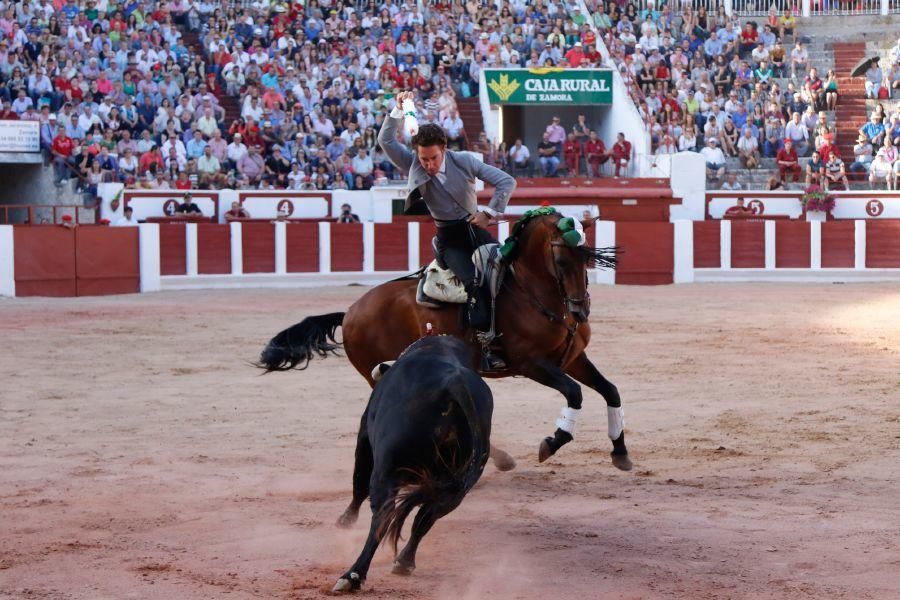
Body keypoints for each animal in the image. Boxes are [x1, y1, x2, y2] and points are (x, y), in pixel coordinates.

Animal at [260, 211, 632, 474]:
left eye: (588, 258)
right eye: (561, 260)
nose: (580, 311)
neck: (530, 291)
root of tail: (351, 311)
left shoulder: (572, 359)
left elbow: (611, 390)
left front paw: (621, 452)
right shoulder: (531, 363)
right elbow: (575, 393)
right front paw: (552, 443)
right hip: (381, 373)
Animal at [332, 336, 492, 592]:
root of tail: (455, 384)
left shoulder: (364, 439)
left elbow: (359, 485)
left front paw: (346, 519)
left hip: (386, 471)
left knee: (382, 517)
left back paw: (353, 575)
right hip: (456, 488)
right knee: (426, 518)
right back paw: (404, 561)